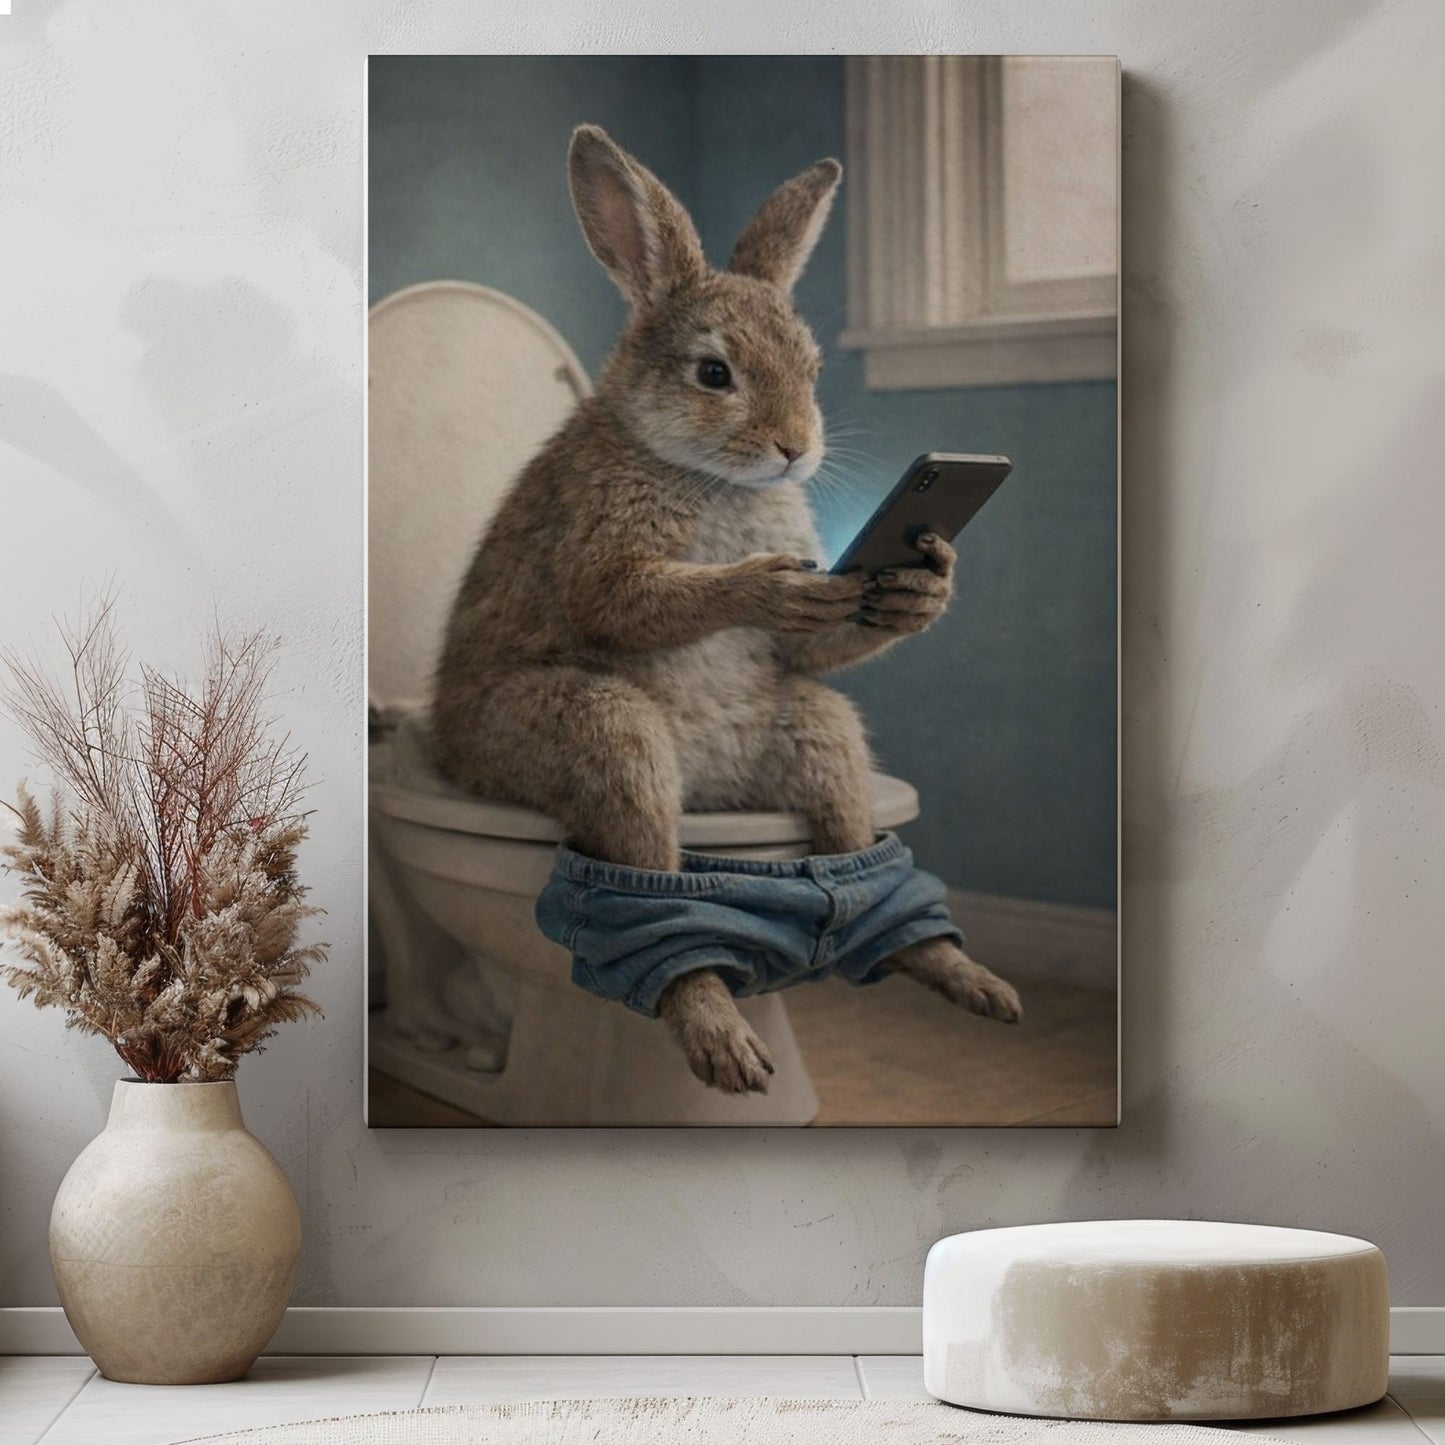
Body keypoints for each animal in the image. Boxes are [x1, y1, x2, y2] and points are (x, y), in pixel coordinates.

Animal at [431, 125, 1022, 1095]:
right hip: (595, 733)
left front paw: (922, 583)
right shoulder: (602, 558)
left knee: (843, 830)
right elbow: (627, 600)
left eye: (812, 371)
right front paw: (770, 583)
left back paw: (957, 974)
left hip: (816, 740)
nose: (794, 448)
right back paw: (720, 1037)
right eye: (714, 373)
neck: (702, 468)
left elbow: (818, 641)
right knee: (648, 895)